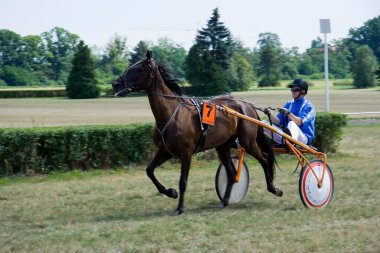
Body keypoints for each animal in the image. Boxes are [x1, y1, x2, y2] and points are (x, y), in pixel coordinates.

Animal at [110, 50, 282, 214]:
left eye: (138, 68)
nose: (115, 83)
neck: (172, 114)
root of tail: (247, 105)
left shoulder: (186, 152)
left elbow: (183, 181)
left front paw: (179, 208)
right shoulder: (165, 150)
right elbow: (149, 171)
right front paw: (170, 192)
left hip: (248, 141)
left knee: (264, 159)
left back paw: (274, 189)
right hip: (223, 146)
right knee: (232, 173)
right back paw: (225, 201)